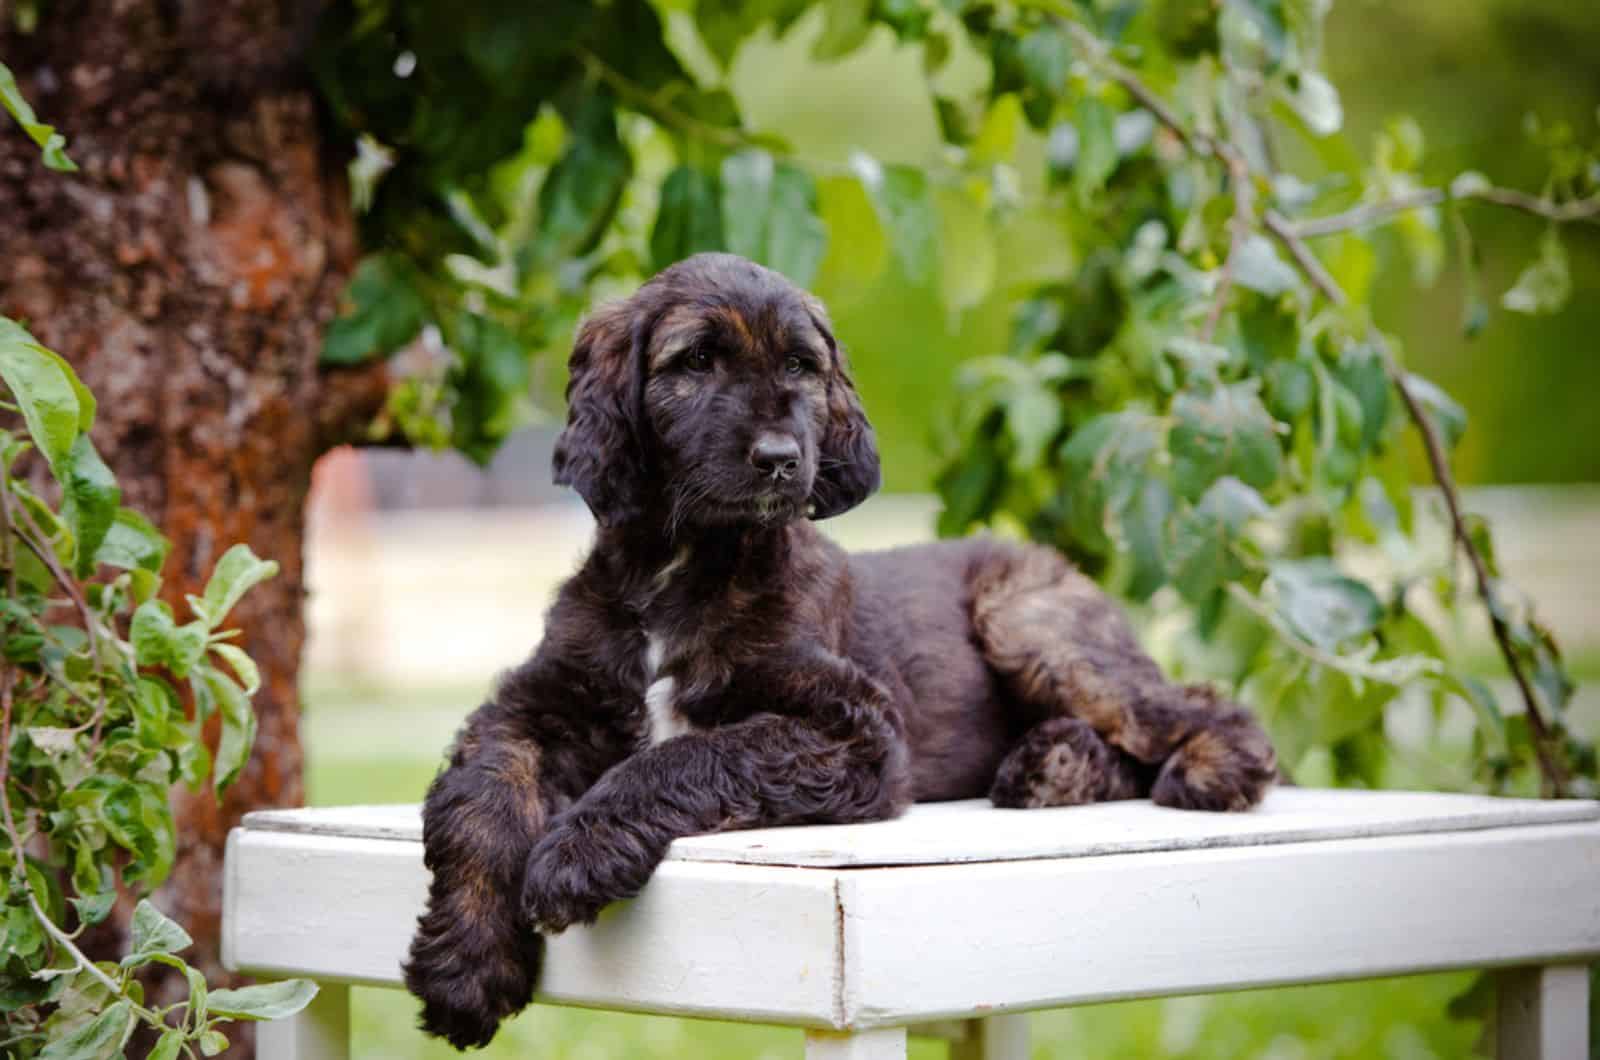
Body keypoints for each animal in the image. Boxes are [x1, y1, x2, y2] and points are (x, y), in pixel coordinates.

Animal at [406, 252, 1280, 1050]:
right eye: (695, 362)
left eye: (802, 365)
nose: (780, 459)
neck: (687, 567)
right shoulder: (529, 708)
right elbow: (482, 799)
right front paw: (466, 967)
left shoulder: (856, 730)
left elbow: (694, 753)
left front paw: (578, 851)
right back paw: (1052, 768)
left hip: (1027, 623)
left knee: (1194, 709)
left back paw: (1205, 770)